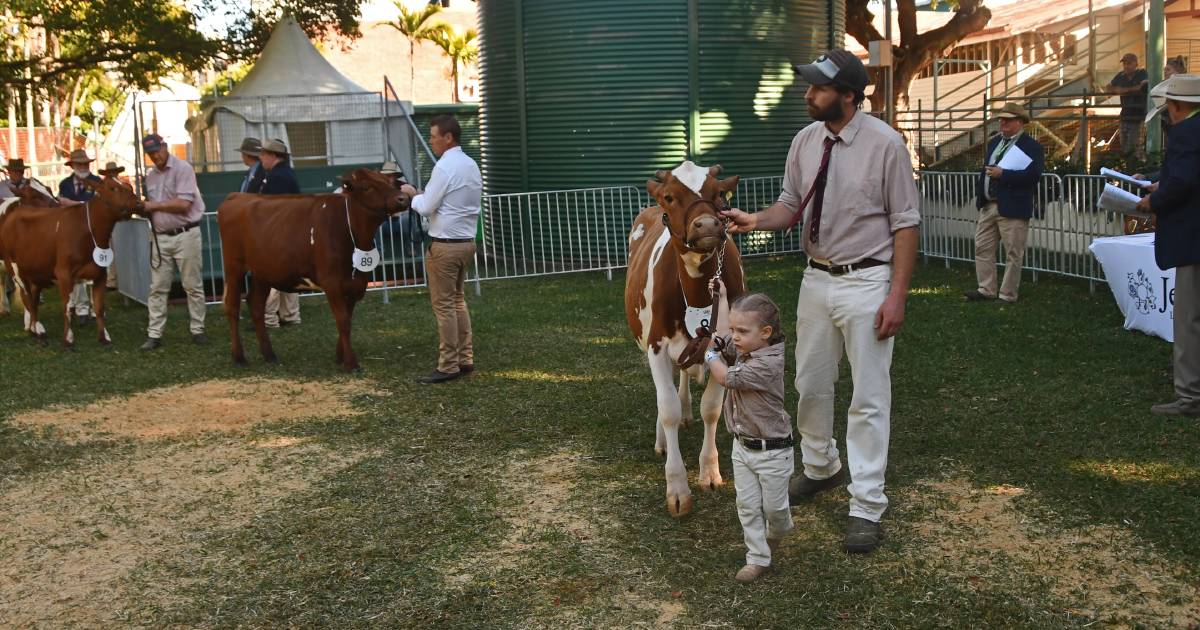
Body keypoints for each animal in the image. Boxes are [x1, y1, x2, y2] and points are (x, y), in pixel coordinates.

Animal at [0, 176, 142, 345]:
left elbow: (99, 308)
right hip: (16, 269)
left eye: (129, 186)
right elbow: (67, 308)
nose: (139, 203)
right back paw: (38, 331)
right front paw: (68, 340)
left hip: (36, 271)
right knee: (28, 299)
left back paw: (33, 328)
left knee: (32, 300)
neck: (87, 231)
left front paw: (104, 337)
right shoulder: (63, 274)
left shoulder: (100, 273)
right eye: (112, 188)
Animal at [219, 168, 412, 374]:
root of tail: (237, 196)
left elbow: (348, 318)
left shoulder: (356, 282)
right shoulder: (331, 282)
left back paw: (269, 355)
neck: (349, 231)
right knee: (232, 306)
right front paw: (351, 363)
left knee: (255, 305)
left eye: (391, 183)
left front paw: (340, 356)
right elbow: (343, 320)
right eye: (367, 187)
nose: (403, 198)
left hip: (263, 272)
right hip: (234, 266)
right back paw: (239, 357)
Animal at [628, 162, 739, 516]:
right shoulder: (656, 347)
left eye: (719, 192)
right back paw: (663, 440)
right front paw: (677, 489)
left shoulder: (726, 346)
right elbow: (668, 410)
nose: (706, 224)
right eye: (669, 197)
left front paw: (710, 471)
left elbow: (711, 409)